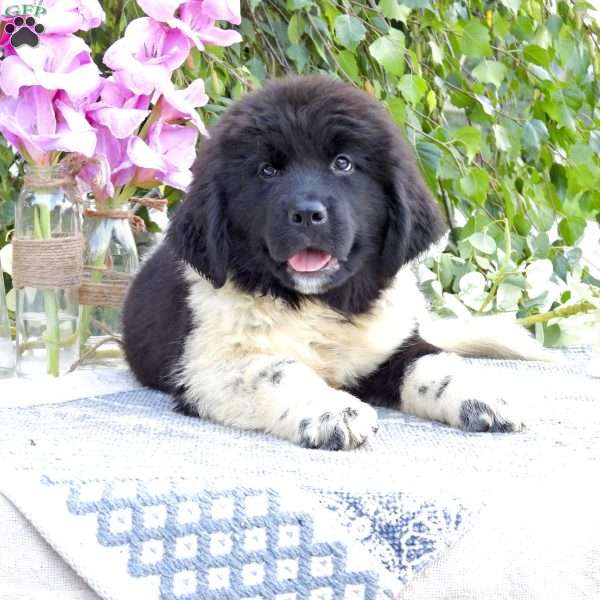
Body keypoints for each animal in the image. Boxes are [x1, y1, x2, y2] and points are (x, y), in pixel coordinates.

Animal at [124, 76, 548, 450]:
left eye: (342, 164)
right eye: (267, 171)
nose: (308, 214)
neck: (317, 303)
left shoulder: (389, 345)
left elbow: (435, 364)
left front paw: (484, 392)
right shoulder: (209, 366)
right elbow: (279, 371)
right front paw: (330, 411)